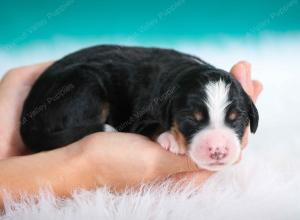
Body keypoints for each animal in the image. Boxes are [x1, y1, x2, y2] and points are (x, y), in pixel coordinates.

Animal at [20, 45, 258, 172]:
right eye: (191, 118)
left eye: (236, 119)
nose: (218, 150)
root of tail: (26, 119)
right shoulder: (140, 118)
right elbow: (153, 126)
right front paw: (170, 138)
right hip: (84, 83)